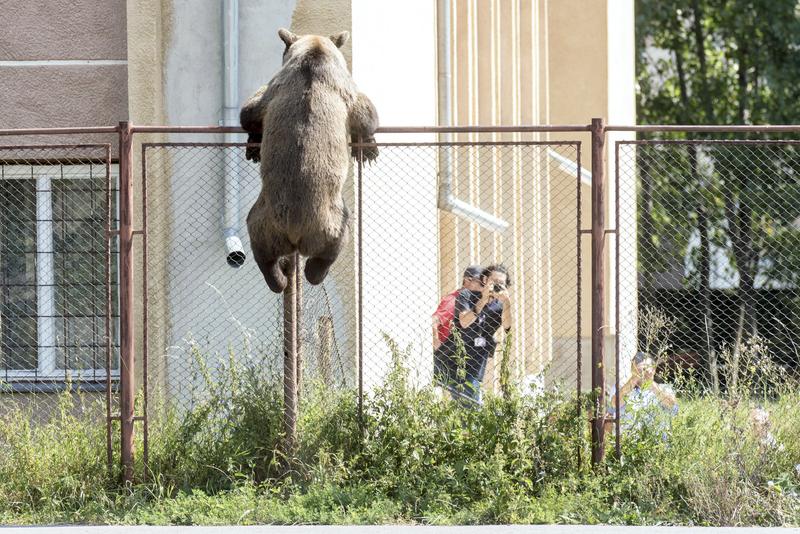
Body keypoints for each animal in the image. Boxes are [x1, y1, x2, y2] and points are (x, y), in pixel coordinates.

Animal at [239, 27, 380, 296]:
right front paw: (368, 149)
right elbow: (365, 111)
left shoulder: (274, 92)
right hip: (327, 221)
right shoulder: (340, 87)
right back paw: (312, 272)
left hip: (264, 218)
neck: (315, 53)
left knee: (261, 249)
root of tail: (294, 233)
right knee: (336, 241)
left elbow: (250, 113)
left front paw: (253, 146)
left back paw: (278, 277)